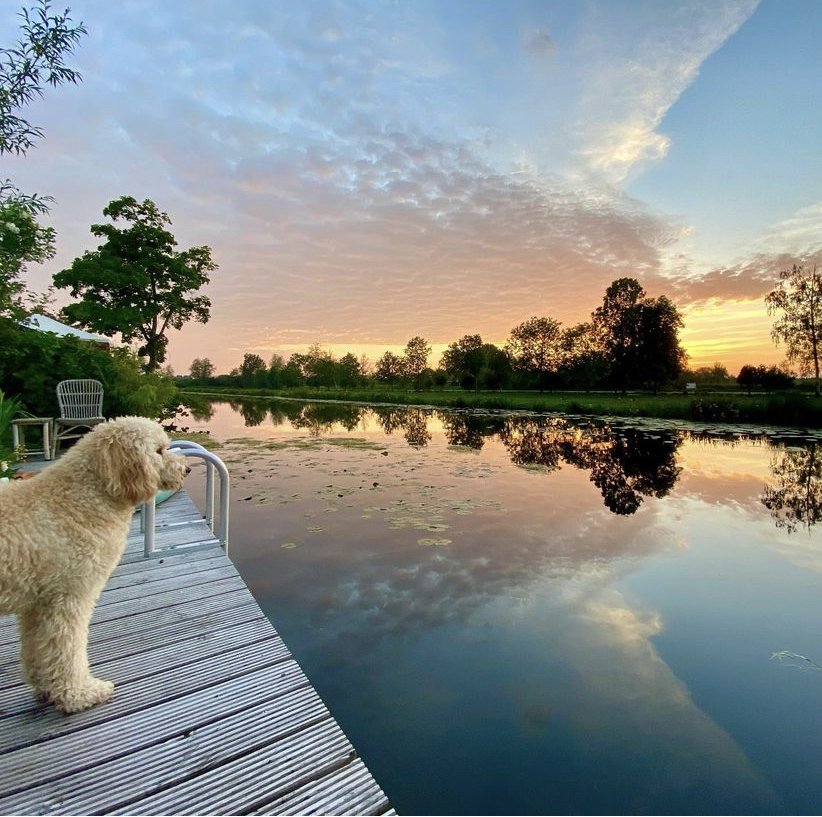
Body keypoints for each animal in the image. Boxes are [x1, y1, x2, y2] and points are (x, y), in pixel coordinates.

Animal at [0, 418, 187, 712]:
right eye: (158, 450)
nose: (187, 468)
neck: (83, 497)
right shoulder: (68, 597)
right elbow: (68, 651)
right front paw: (80, 694)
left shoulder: (36, 604)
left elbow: (38, 649)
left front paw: (46, 688)